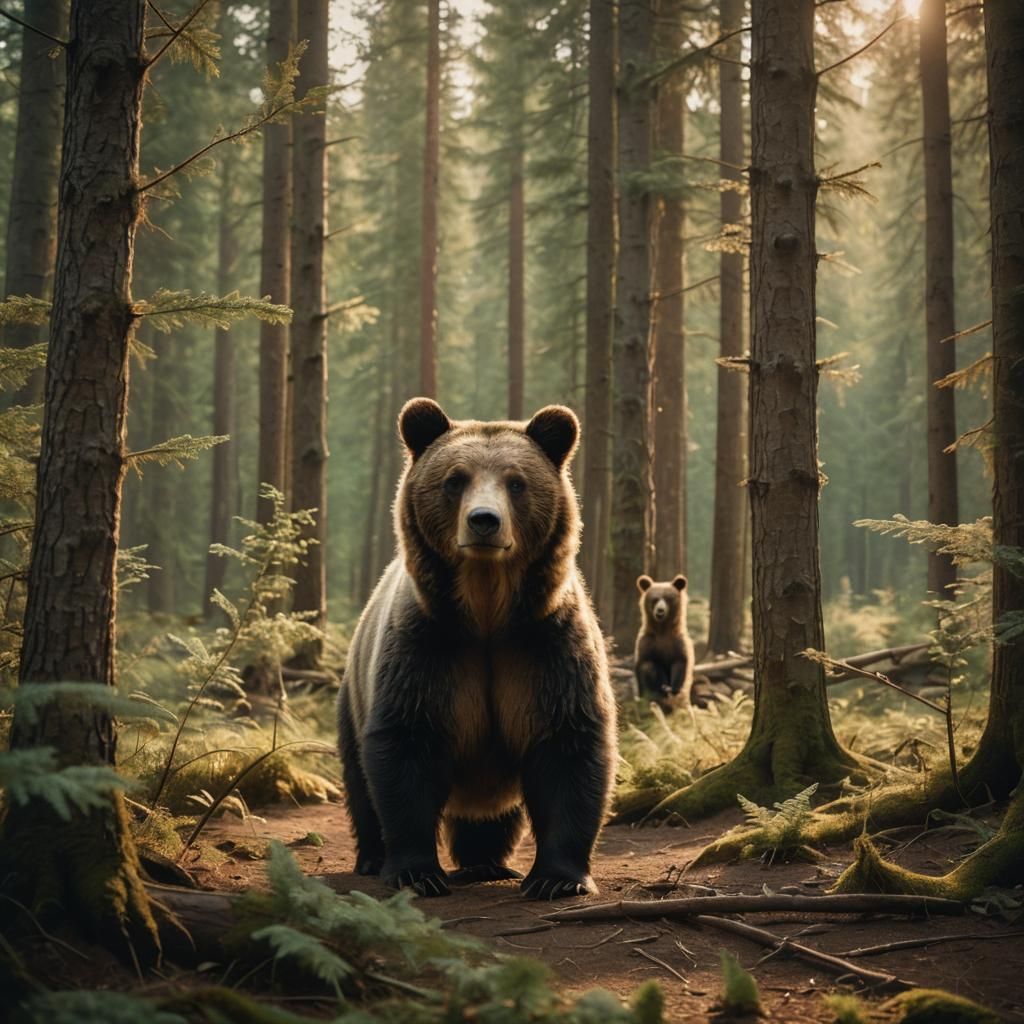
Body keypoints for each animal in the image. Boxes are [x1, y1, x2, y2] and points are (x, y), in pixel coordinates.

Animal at [337, 397, 616, 900]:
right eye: (455, 479)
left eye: (516, 481)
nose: (484, 520)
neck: (487, 611)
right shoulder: (429, 647)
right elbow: (407, 746)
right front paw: (418, 872)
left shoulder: (545, 647)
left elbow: (568, 744)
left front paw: (557, 879)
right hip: (354, 694)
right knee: (360, 781)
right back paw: (371, 857)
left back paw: (487, 861)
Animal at [633, 575, 694, 709]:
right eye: (654, 599)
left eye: (668, 599)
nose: (660, 610)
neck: (662, 630)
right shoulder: (648, 642)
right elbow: (645, 663)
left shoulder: (677, 641)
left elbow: (680, 662)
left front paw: (673, 688)